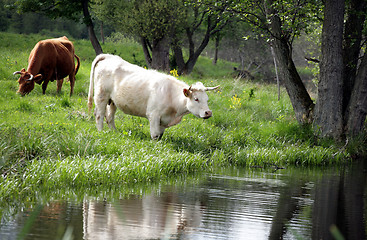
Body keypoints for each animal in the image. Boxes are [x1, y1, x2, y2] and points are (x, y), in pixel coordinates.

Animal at [87, 54, 220, 141]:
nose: (208, 112)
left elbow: (160, 136)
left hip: (113, 101)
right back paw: (101, 132)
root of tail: (109, 56)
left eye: (207, 99)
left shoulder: (163, 121)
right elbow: (155, 135)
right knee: (99, 115)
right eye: (196, 99)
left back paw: (114, 132)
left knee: (110, 117)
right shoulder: (153, 115)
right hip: (101, 95)